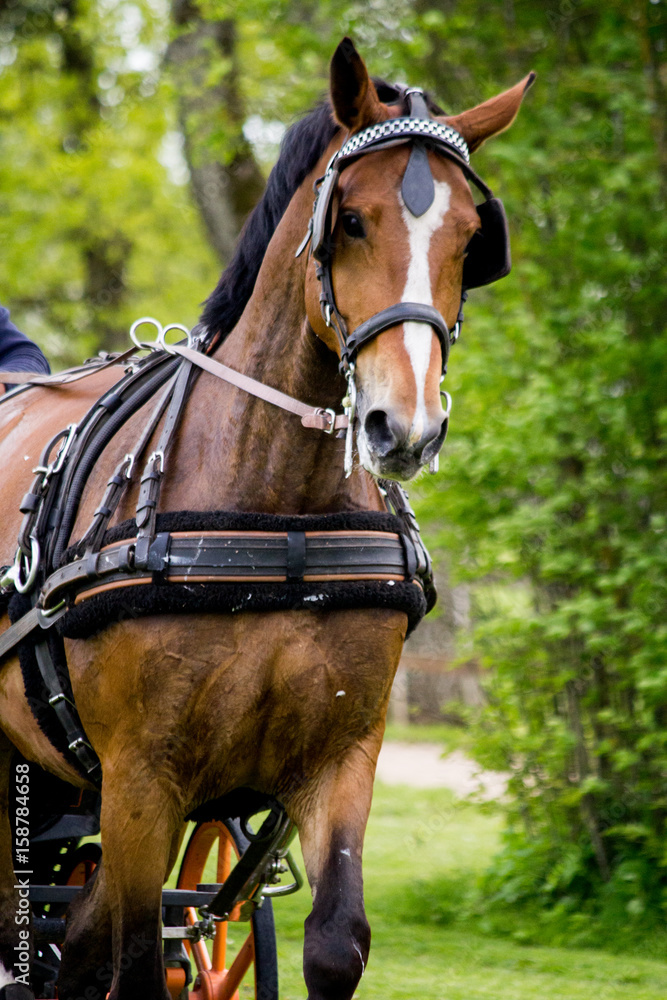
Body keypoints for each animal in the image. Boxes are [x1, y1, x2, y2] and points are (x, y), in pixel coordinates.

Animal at [0, 37, 532, 1000]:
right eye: (350, 220)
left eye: (473, 240)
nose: (404, 427)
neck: (275, 515)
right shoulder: (141, 776)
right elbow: (138, 965)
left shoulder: (341, 753)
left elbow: (334, 943)